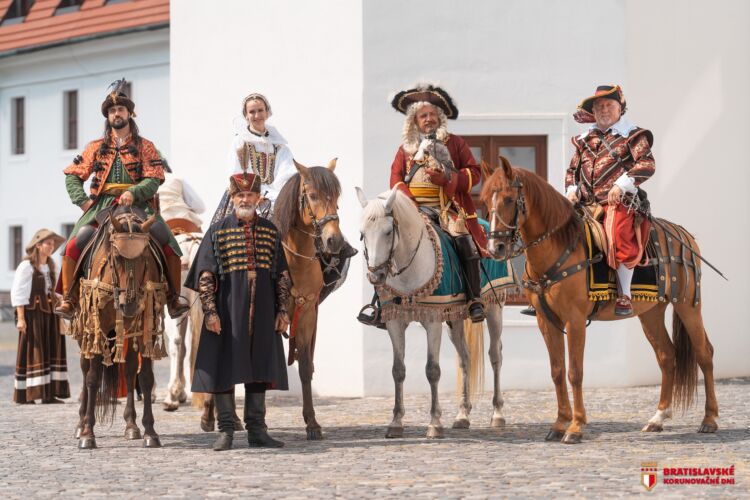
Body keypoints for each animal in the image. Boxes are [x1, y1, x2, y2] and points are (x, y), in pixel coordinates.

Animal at [69, 207, 170, 450]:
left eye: (145, 257)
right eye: (116, 257)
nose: (129, 304)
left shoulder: (145, 329)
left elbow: (145, 377)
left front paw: (150, 432)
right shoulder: (97, 329)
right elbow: (93, 378)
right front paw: (88, 433)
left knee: (130, 369)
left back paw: (131, 425)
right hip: (84, 331)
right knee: (85, 369)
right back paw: (80, 424)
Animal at [274, 158, 346, 440]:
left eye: (337, 196)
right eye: (312, 195)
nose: (333, 240)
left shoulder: (306, 314)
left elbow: (305, 367)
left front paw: (312, 423)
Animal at [356, 188, 508, 438]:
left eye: (388, 231)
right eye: (362, 234)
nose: (375, 276)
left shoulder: (432, 319)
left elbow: (432, 370)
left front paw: (434, 423)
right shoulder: (395, 321)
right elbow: (398, 370)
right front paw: (396, 422)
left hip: (494, 307)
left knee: (495, 355)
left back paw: (497, 414)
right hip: (455, 318)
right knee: (464, 358)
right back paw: (462, 415)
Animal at [484, 161, 720, 446]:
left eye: (509, 199)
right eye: (485, 200)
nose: (494, 248)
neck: (558, 246)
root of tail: (684, 234)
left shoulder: (575, 320)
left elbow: (575, 372)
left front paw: (575, 427)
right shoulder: (545, 320)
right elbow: (556, 371)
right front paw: (559, 423)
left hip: (688, 306)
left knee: (704, 354)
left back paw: (709, 419)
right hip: (651, 313)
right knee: (666, 355)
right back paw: (658, 418)